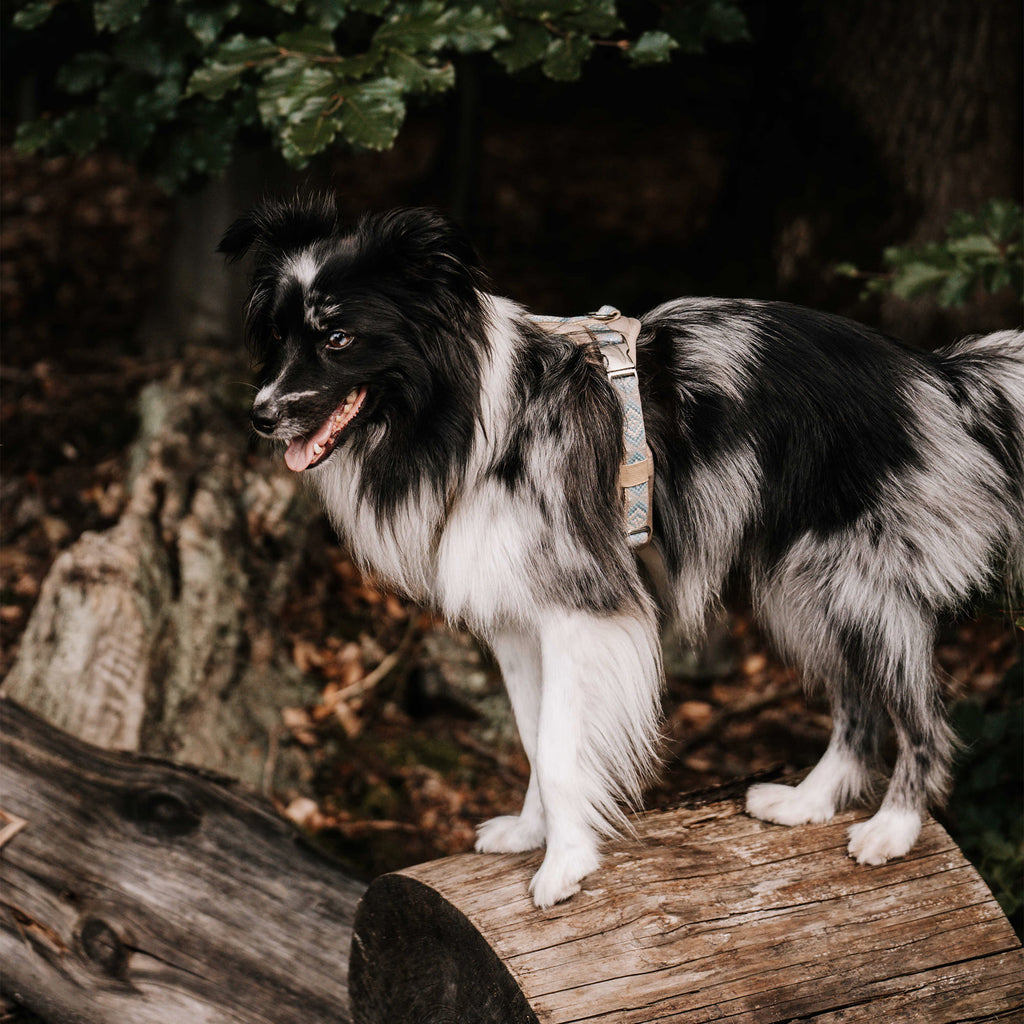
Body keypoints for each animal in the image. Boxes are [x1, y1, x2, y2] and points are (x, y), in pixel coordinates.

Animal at [224, 195, 1024, 909]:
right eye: (278, 338)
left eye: (337, 339)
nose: (259, 416)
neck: (468, 417)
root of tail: (940, 378)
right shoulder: (522, 622)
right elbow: (535, 734)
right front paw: (534, 833)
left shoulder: (582, 608)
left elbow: (557, 744)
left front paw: (565, 864)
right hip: (804, 584)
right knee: (857, 702)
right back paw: (808, 802)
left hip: (859, 584)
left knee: (919, 717)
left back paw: (894, 827)